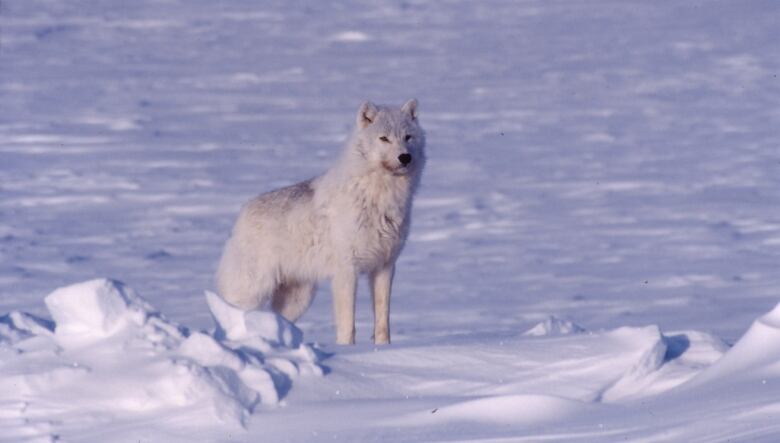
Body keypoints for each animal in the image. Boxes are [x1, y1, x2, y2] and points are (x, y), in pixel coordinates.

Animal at [216, 100, 426, 346]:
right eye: (384, 138)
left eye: (408, 137)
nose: (405, 157)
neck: (380, 199)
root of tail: (242, 213)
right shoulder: (346, 271)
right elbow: (348, 325)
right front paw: (347, 349)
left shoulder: (385, 267)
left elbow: (383, 322)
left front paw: (384, 349)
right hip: (252, 292)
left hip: (298, 300)